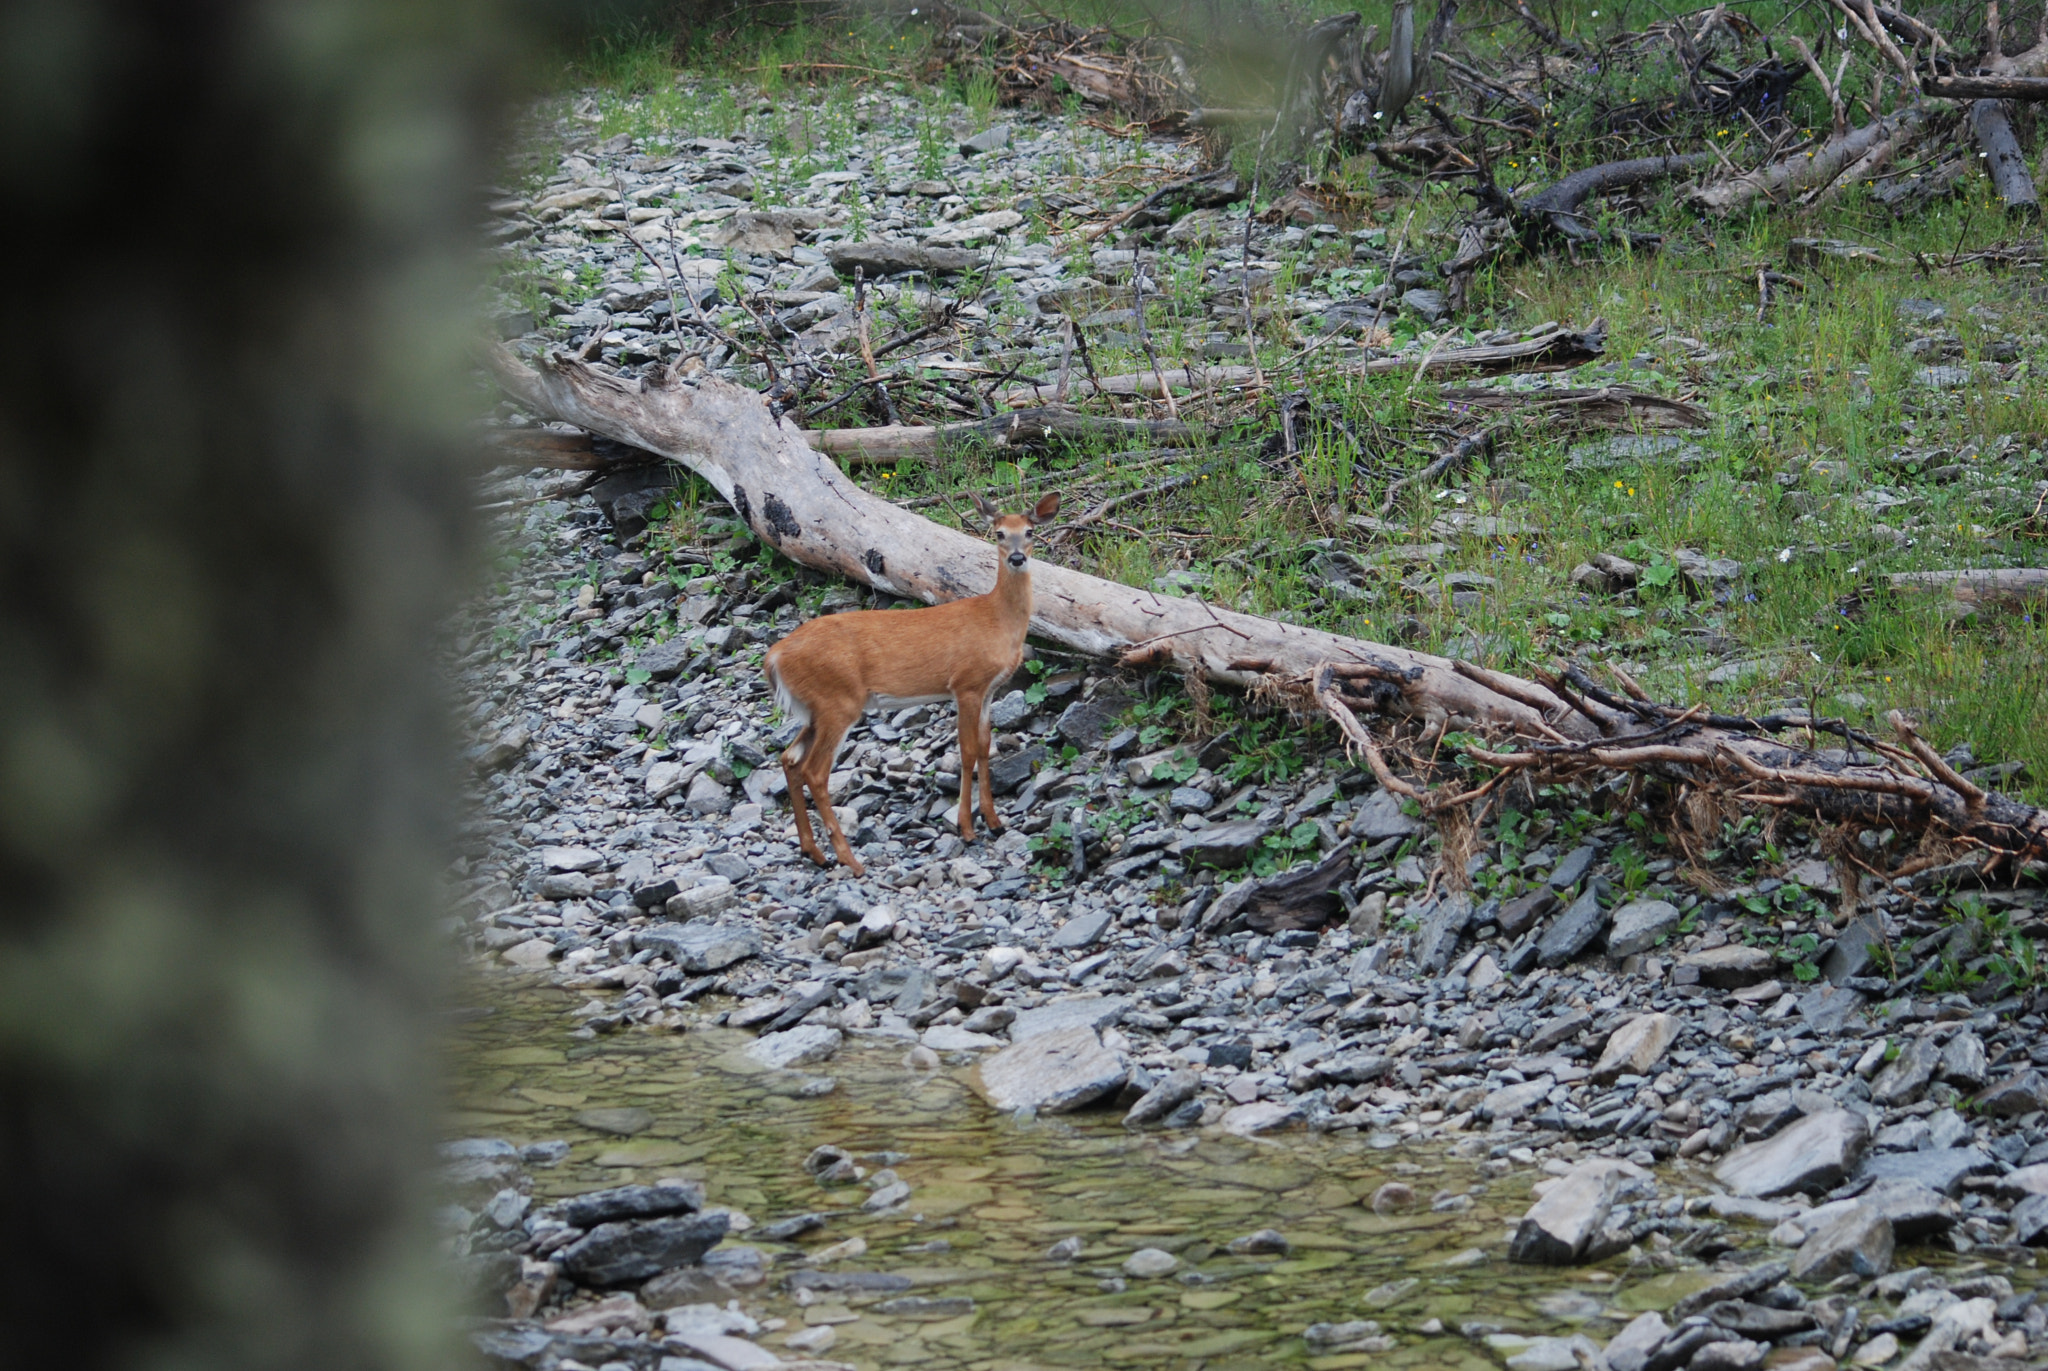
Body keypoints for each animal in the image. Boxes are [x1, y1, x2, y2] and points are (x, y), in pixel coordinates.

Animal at [761, 493, 1064, 877]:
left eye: (1029, 532)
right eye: (998, 533)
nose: (1016, 558)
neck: (998, 621)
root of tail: (773, 657)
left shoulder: (989, 690)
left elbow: (984, 747)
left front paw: (994, 822)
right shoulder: (966, 683)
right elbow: (966, 751)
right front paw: (967, 828)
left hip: (815, 708)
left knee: (789, 758)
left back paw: (814, 852)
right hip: (838, 700)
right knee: (814, 771)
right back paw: (850, 860)